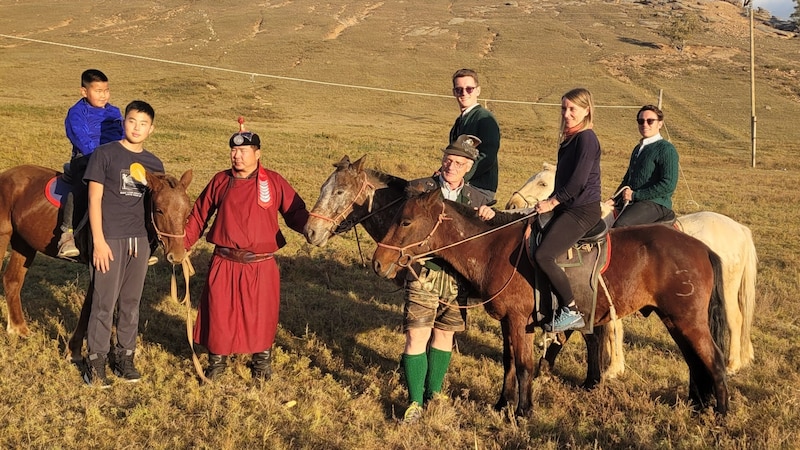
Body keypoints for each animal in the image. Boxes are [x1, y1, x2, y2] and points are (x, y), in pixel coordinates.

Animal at [0, 164, 192, 358]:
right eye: (159, 210)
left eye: (187, 212)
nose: (177, 255)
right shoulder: (101, 267)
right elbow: (91, 306)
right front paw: (74, 350)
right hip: (4, 237)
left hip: (24, 244)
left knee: (12, 281)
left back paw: (18, 329)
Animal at [372, 188, 728, 416]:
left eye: (405, 222)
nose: (378, 261)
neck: (493, 249)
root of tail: (700, 247)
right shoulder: (509, 323)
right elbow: (510, 363)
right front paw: (502, 405)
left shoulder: (518, 321)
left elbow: (524, 365)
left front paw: (523, 411)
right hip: (675, 320)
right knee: (695, 362)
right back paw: (699, 407)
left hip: (688, 320)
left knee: (714, 360)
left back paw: (720, 413)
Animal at [506, 163, 756, 374]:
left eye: (542, 183)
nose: (512, 205)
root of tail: (740, 229)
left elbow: (613, 328)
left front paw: (613, 369)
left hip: (727, 292)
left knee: (736, 319)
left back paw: (732, 364)